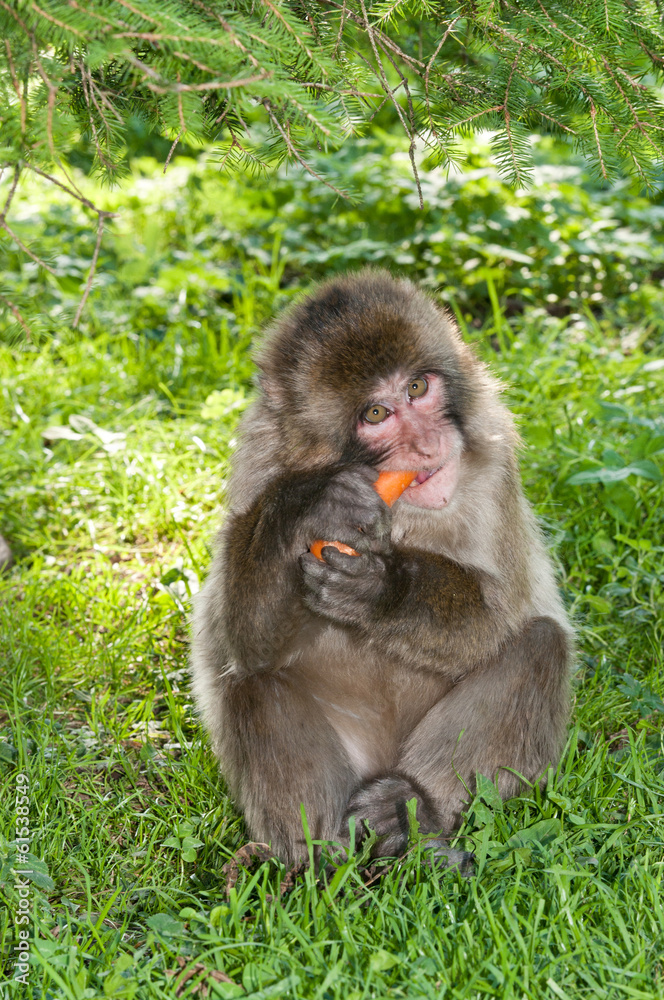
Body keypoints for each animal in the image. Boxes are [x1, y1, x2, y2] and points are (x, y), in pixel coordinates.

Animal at [190, 269, 572, 867]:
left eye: (417, 388)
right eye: (376, 413)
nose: (428, 443)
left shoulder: (494, 463)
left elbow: (500, 616)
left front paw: (383, 591)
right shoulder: (258, 464)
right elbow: (239, 640)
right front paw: (306, 506)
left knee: (539, 644)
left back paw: (411, 811)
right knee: (252, 680)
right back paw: (316, 862)